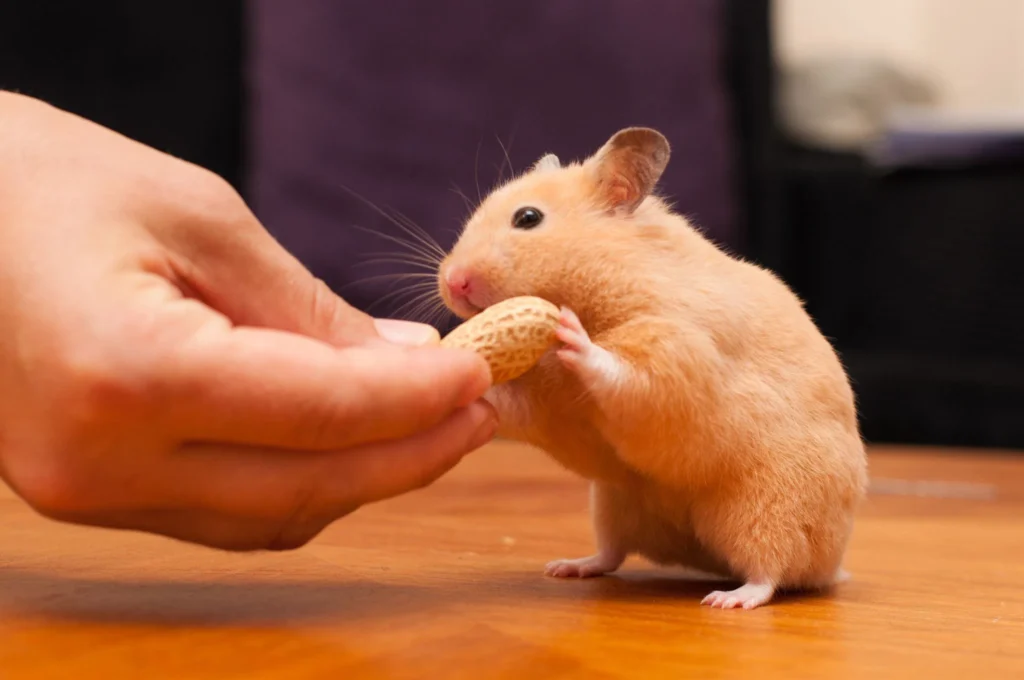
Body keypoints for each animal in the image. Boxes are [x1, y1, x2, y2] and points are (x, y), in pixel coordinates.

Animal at [436, 127, 868, 610]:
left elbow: (623, 374)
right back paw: (567, 567)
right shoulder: (549, 405)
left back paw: (728, 599)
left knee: (772, 570)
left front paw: (572, 336)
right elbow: (517, 402)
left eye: (528, 218)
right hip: (614, 502)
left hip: (770, 508)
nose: (452, 281)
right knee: (612, 553)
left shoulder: (675, 353)